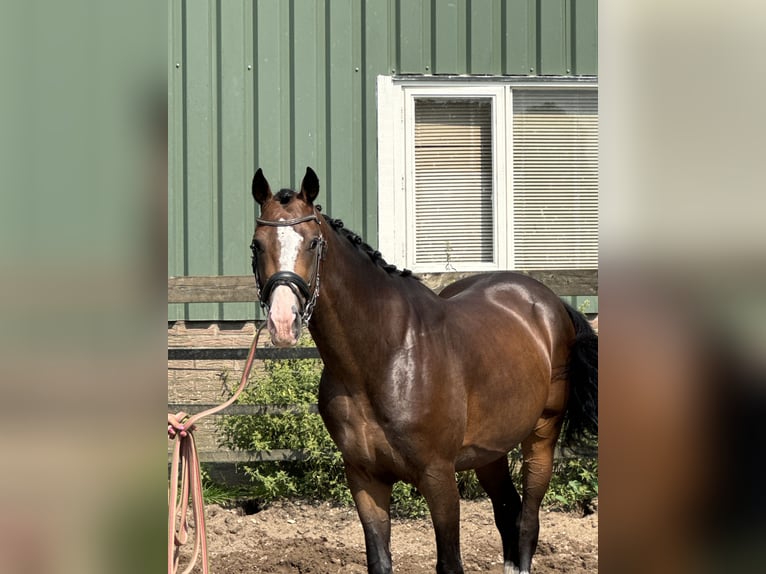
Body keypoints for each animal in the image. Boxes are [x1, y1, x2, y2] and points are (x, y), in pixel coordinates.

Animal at [252, 168, 600, 574]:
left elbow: (450, 562)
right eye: (257, 245)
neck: (382, 358)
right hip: (490, 452)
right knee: (508, 512)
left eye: (312, 243)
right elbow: (379, 561)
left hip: (541, 437)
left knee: (528, 522)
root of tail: (549, 302)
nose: (283, 322)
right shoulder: (365, 477)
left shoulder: (438, 476)